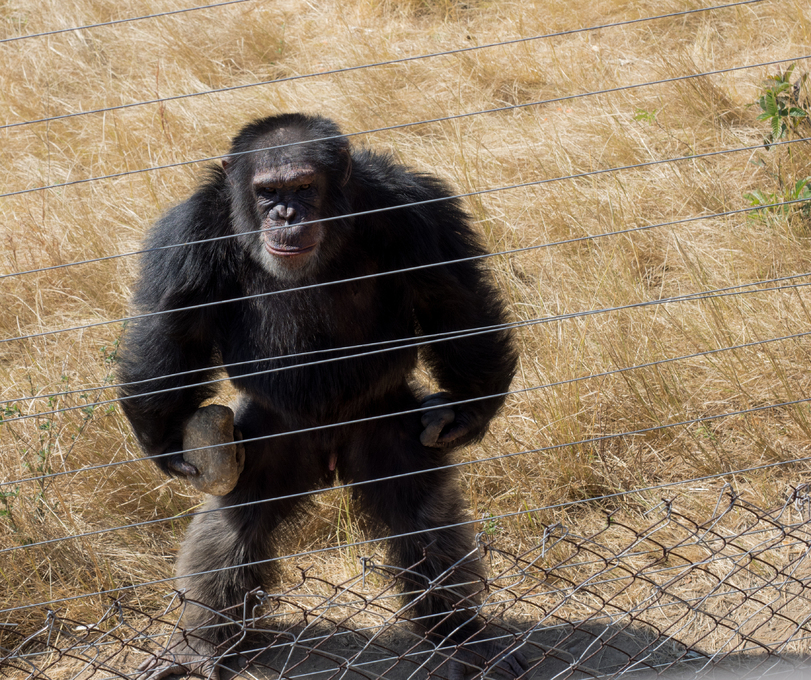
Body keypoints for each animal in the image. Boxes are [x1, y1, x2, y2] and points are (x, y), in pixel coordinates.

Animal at [119, 114, 528, 676]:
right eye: (267, 191)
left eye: (303, 187)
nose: (285, 213)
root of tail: (330, 454)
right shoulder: (187, 235)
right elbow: (174, 328)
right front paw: (161, 440)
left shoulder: (418, 211)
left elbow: (451, 297)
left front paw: (471, 409)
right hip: (269, 440)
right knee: (231, 526)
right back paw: (202, 646)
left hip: (385, 425)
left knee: (422, 513)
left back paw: (461, 638)